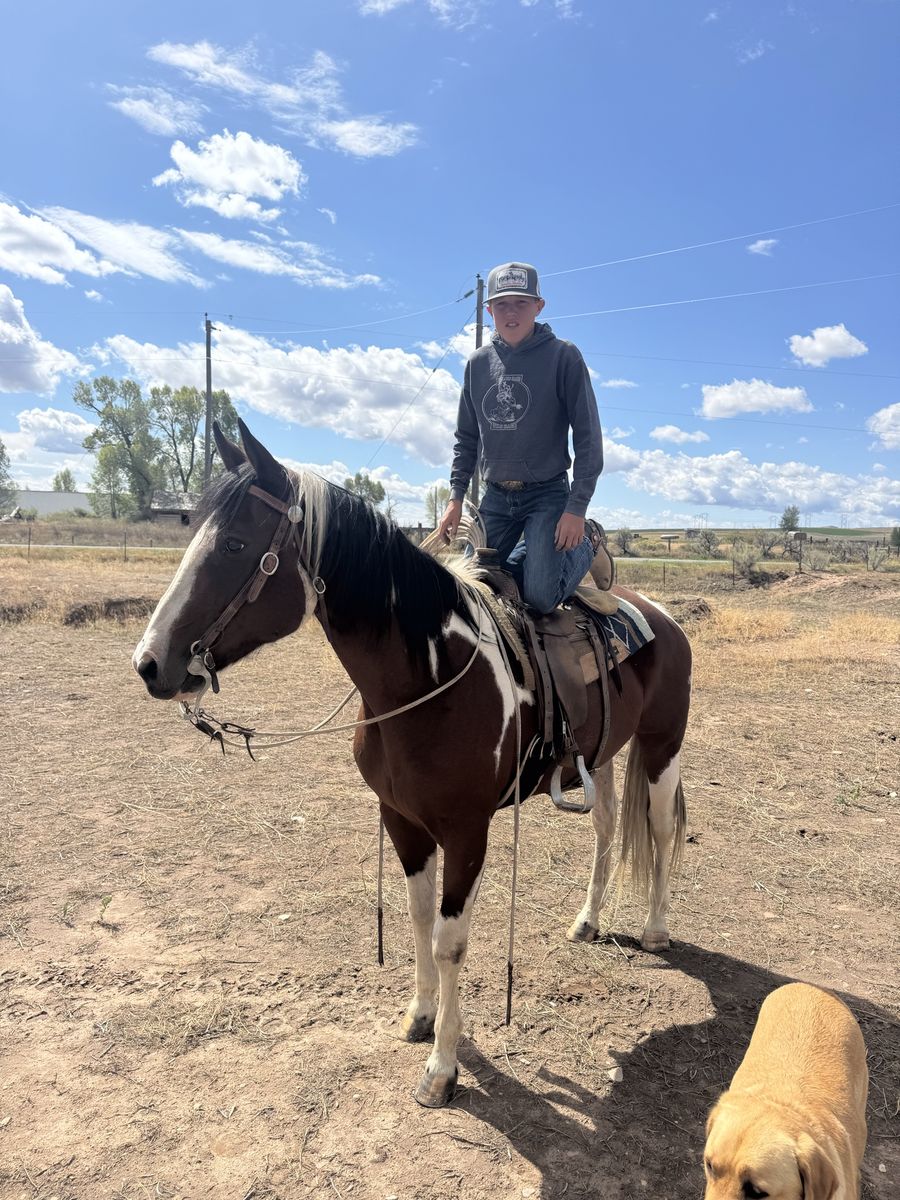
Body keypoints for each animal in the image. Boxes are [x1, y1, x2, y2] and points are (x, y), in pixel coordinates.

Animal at [133, 419, 692, 1108]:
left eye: (236, 543)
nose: (149, 663)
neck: (428, 676)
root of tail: (661, 615)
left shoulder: (468, 831)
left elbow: (452, 942)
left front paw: (443, 1068)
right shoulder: (402, 819)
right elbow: (420, 918)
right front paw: (420, 1016)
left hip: (663, 745)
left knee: (661, 830)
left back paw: (656, 928)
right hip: (602, 756)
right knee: (608, 827)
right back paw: (587, 920)